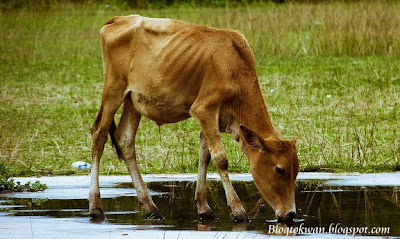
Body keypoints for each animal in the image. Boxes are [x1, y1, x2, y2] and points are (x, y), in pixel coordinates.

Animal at [89, 14, 298, 223]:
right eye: (279, 169)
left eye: (296, 169)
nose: (290, 214)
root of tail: (119, 19)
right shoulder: (204, 110)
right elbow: (220, 158)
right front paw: (238, 210)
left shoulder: (213, 120)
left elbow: (205, 156)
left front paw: (204, 208)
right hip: (113, 90)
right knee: (99, 136)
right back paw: (95, 207)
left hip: (133, 100)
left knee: (125, 140)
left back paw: (151, 207)